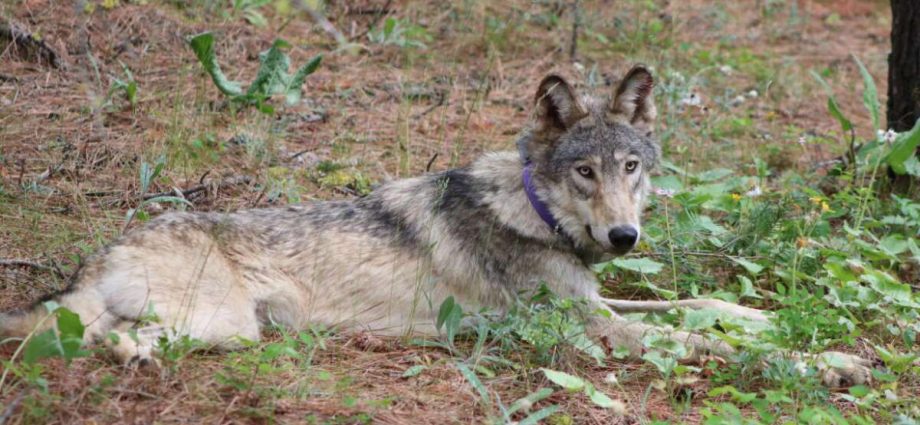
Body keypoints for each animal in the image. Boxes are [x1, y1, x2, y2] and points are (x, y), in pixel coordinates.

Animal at [0, 66, 871, 387]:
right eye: (584, 172)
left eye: (631, 166)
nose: (624, 238)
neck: (534, 210)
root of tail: (103, 249)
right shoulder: (589, 330)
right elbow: (695, 339)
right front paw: (827, 361)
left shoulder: (594, 303)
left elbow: (699, 306)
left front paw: (764, 318)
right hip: (226, 325)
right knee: (99, 337)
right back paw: (129, 358)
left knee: (88, 330)